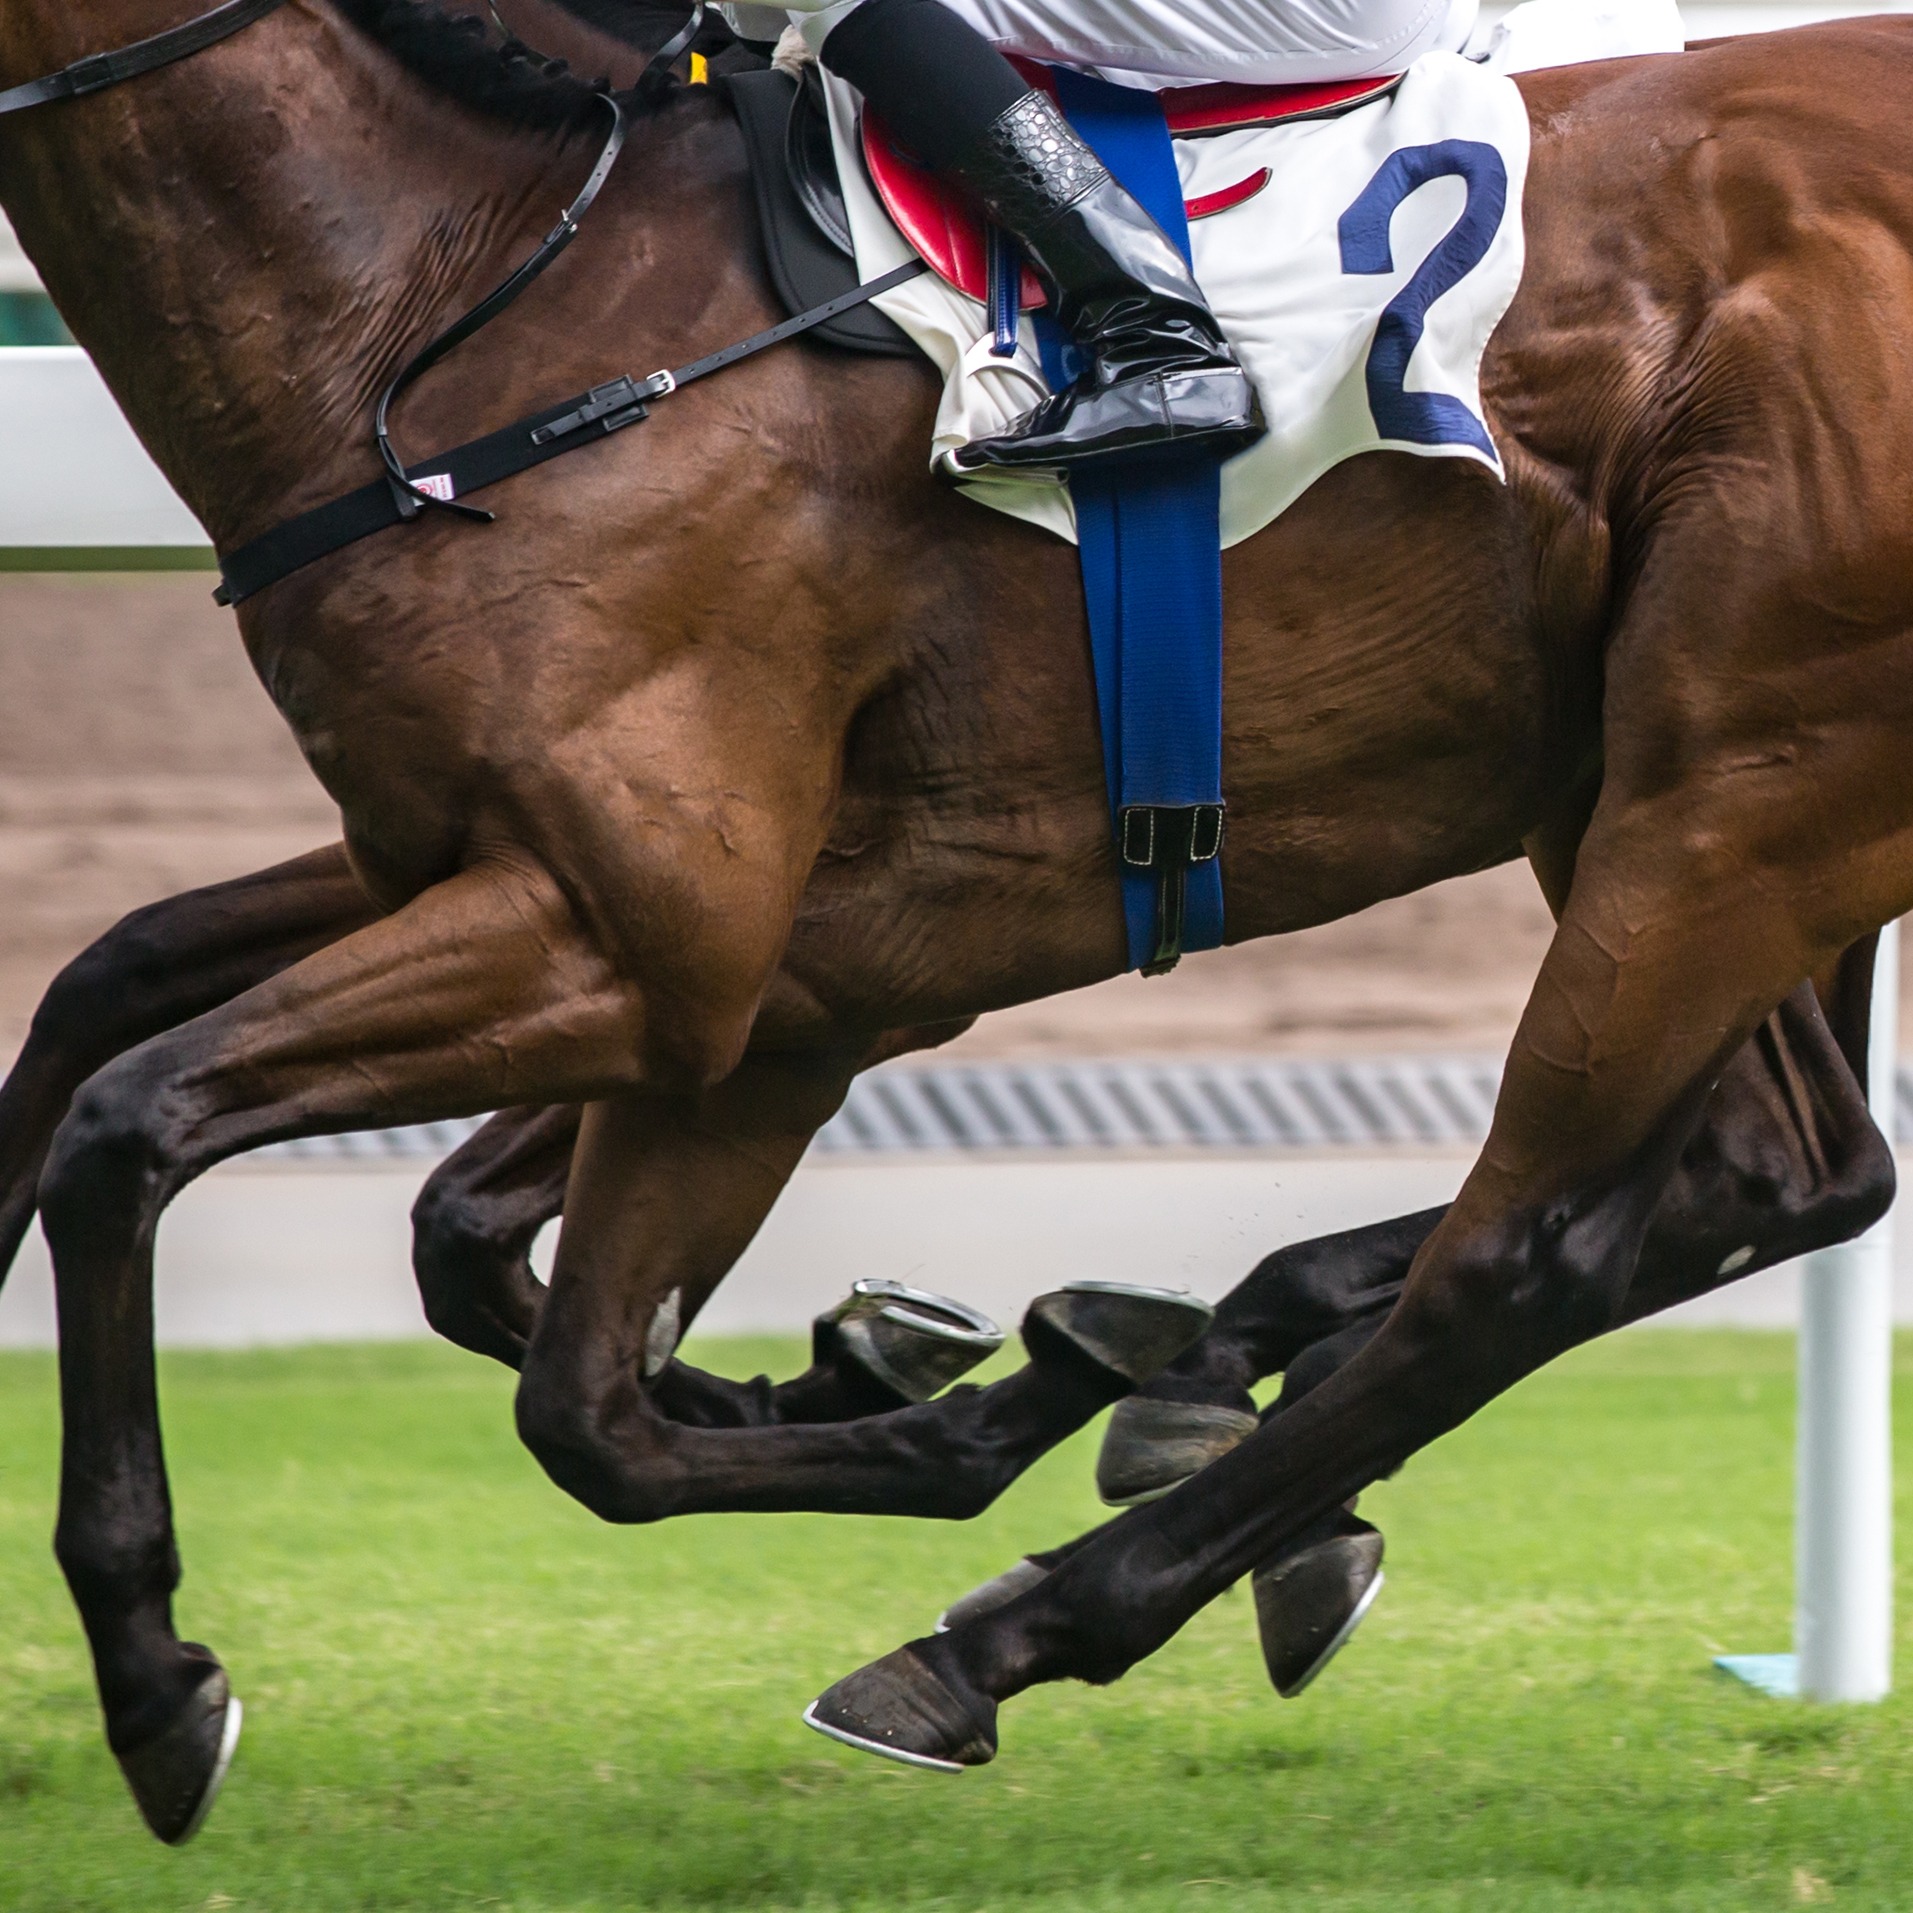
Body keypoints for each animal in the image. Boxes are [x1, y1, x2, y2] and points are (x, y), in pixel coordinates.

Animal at [3, 0, 1909, 1836]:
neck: (459, 305)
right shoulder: (608, 920)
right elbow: (131, 1005)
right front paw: (921, 1369)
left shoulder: (652, 944)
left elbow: (146, 1133)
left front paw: (155, 1674)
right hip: (1657, 800)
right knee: (1779, 1170)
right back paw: (1206, 1425)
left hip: (1732, 797)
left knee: (1534, 1253)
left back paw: (1012, 1626)